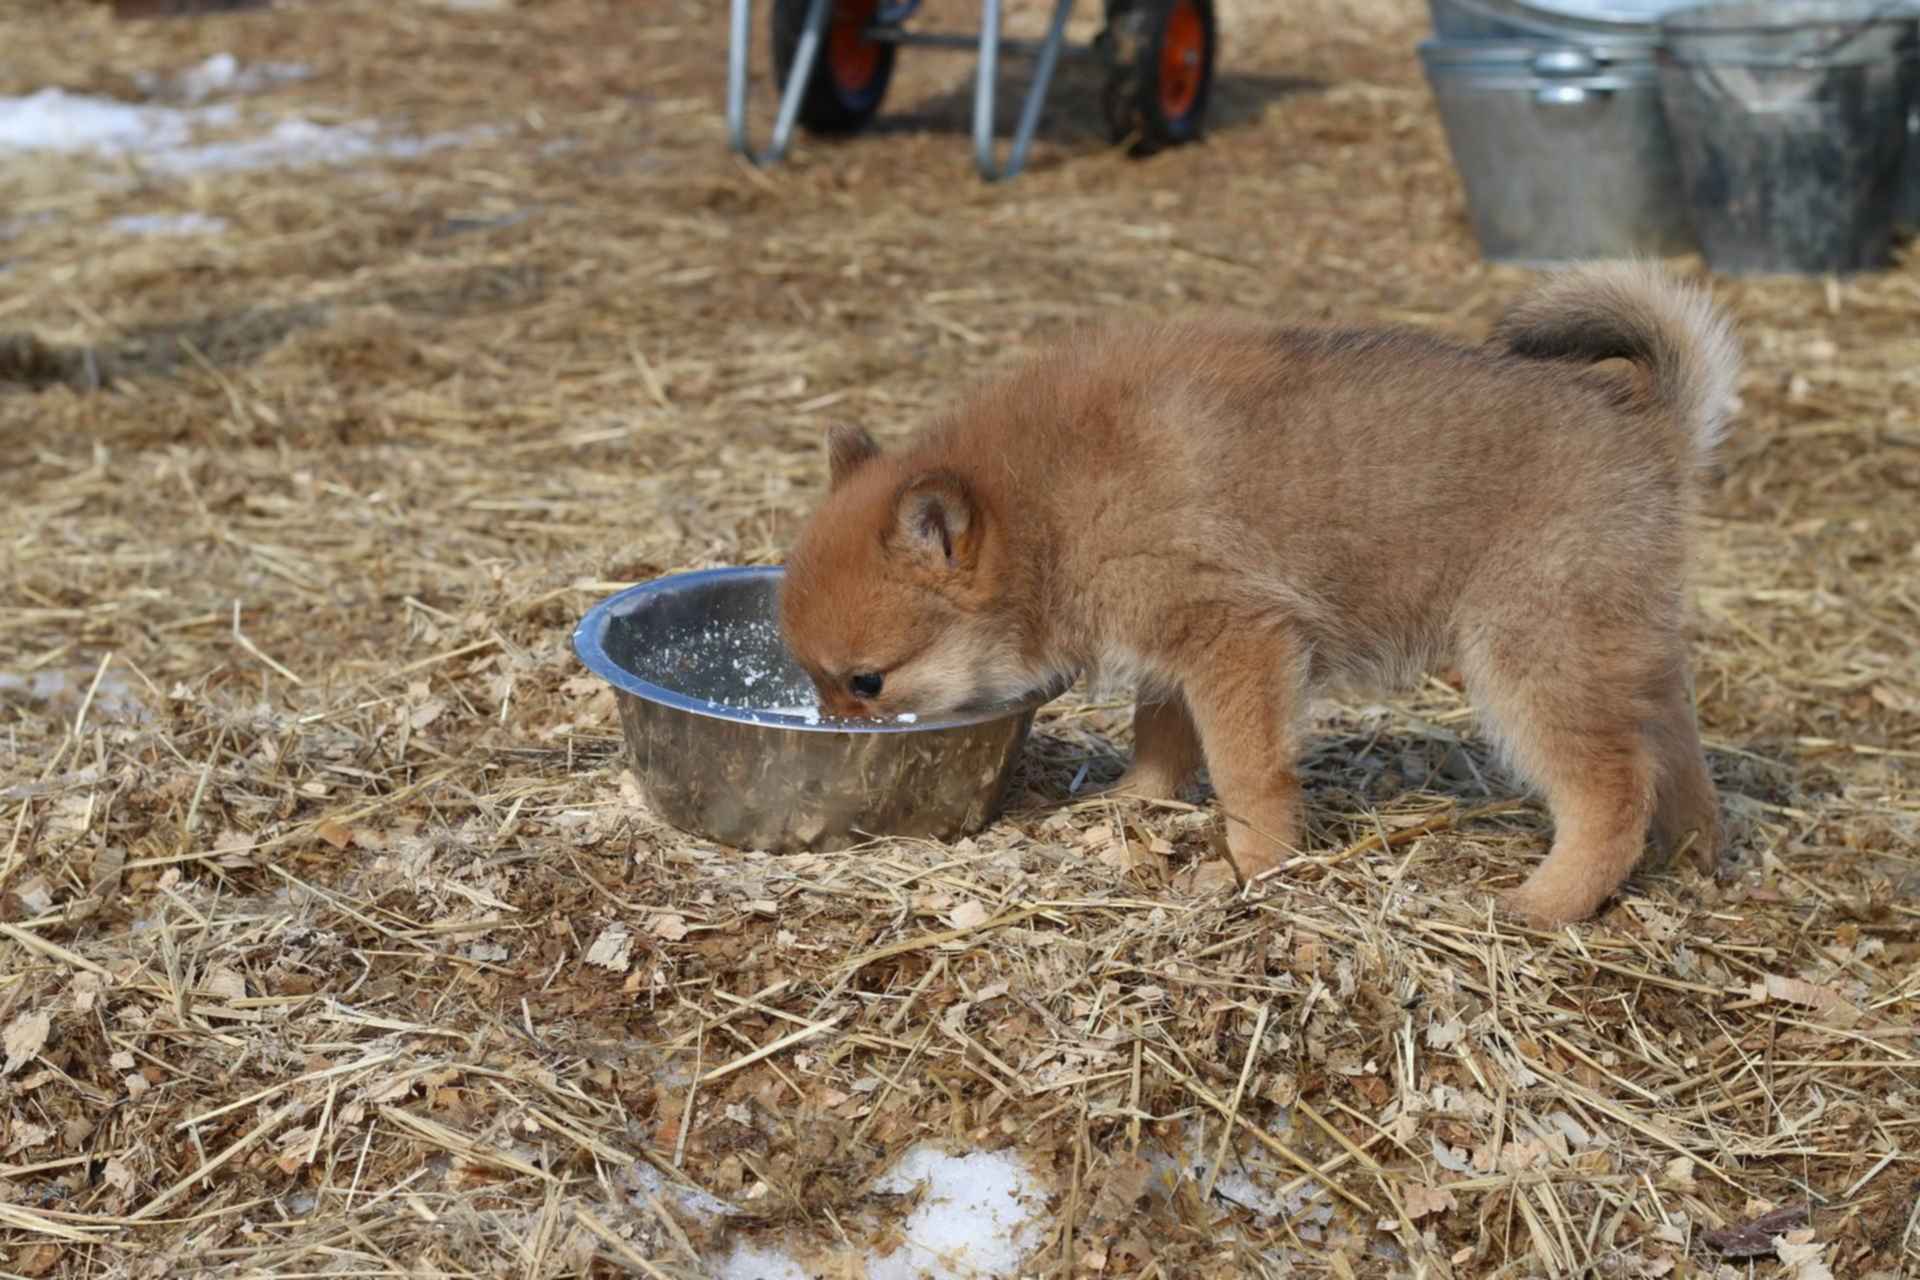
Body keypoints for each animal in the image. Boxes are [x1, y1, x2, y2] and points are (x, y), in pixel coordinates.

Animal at [775, 264, 1743, 924]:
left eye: (865, 683)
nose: (829, 735)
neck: (1046, 502)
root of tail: (1651, 430)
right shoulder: (1179, 647)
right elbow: (1163, 738)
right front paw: (1132, 802)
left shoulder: (1237, 640)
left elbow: (1246, 771)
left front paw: (1247, 870)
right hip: (1614, 646)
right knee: (1673, 750)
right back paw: (1694, 855)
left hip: (1529, 655)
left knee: (1610, 793)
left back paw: (1545, 903)